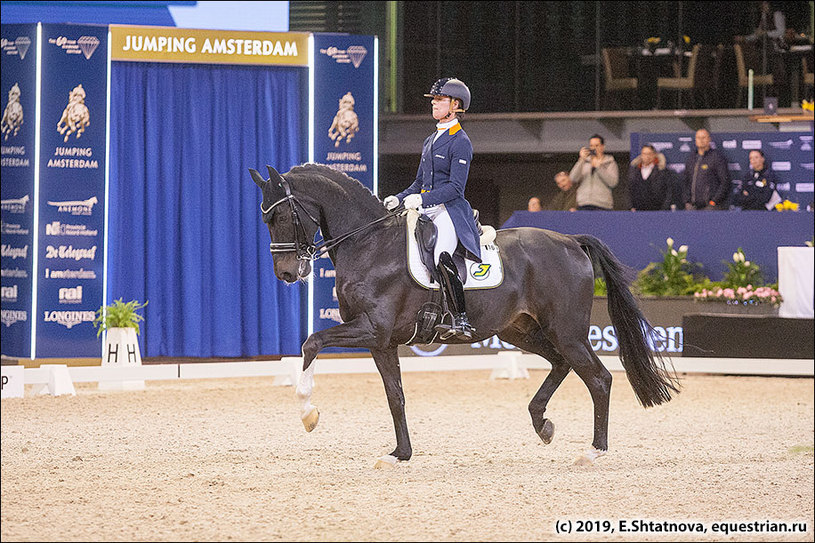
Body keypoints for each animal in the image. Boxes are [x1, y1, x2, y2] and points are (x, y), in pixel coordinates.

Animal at [250, 162, 684, 468]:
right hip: (518, 330)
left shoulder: (371, 329)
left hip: (567, 330)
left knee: (599, 378)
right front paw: (399, 454)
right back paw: (542, 424)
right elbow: (395, 397)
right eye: (264, 218)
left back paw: (593, 451)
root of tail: (571, 240)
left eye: (282, 216)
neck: (369, 242)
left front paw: (308, 413)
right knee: (561, 364)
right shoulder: (382, 342)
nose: (287, 273)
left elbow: (312, 342)